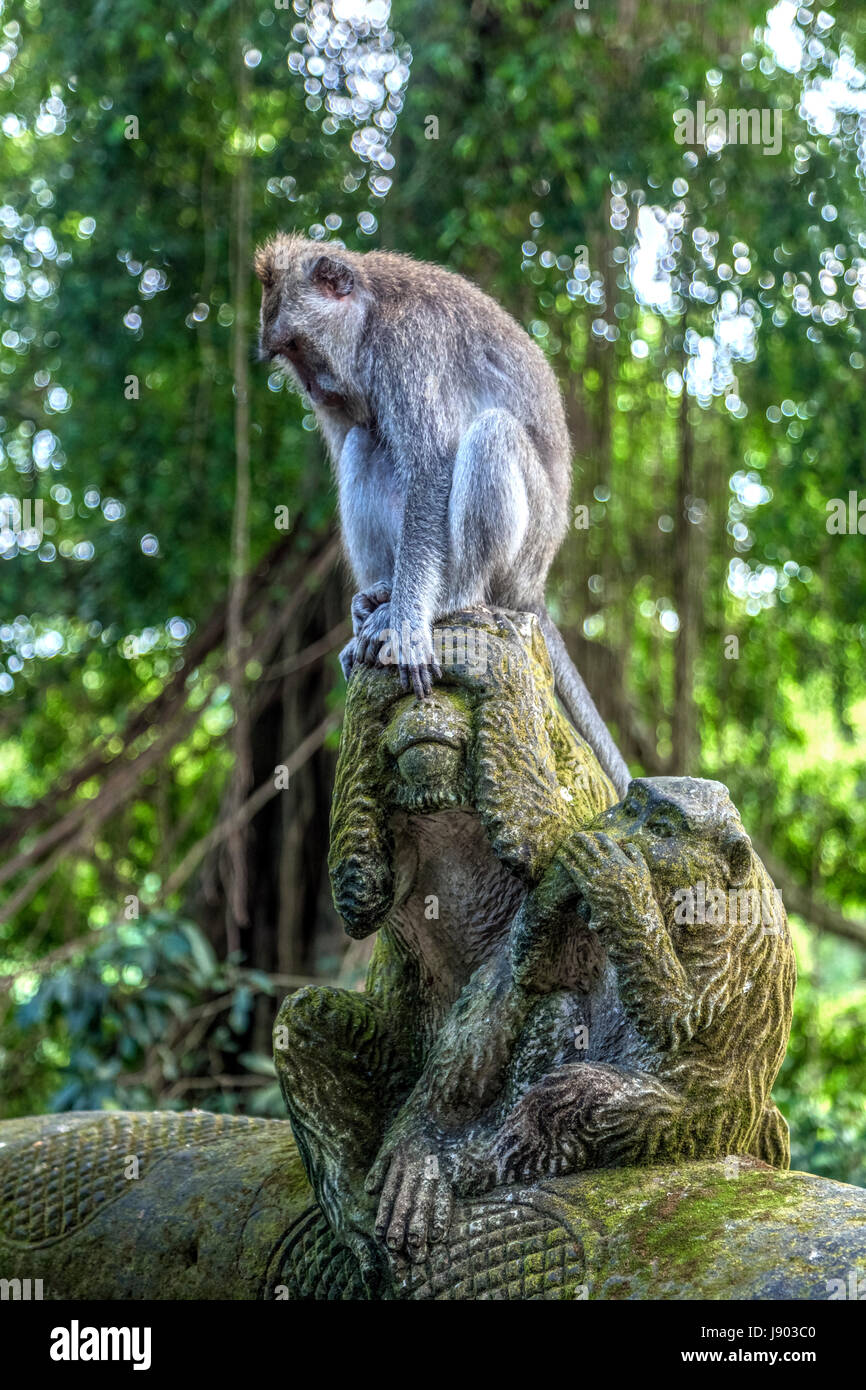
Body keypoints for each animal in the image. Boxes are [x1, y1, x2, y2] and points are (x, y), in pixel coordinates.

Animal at [254, 233, 630, 796]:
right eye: (285, 353)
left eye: (298, 345)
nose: (312, 389)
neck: (370, 314)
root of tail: (534, 586)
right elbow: (360, 439)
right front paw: (382, 613)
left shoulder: (407, 346)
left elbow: (432, 463)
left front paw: (408, 624)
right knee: (364, 442)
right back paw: (380, 597)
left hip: (527, 548)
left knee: (492, 433)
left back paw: (453, 599)